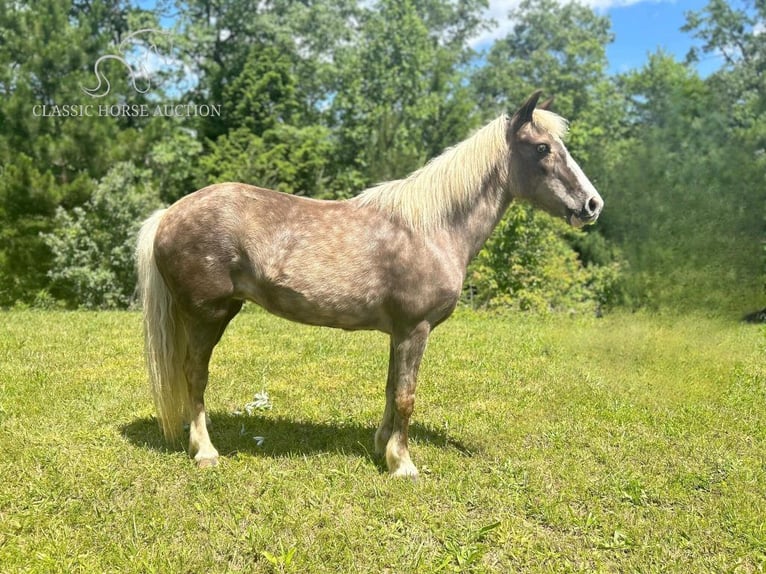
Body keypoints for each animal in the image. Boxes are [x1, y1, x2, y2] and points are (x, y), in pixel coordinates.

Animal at [136, 91, 608, 476]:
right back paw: (205, 450)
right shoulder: (415, 330)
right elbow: (406, 396)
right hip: (208, 315)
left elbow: (391, 389)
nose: (592, 204)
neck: (431, 228)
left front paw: (383, 447)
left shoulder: (400, 332)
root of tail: (168, 214)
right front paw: (403, 464)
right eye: (543, 148)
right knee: (195, 375)